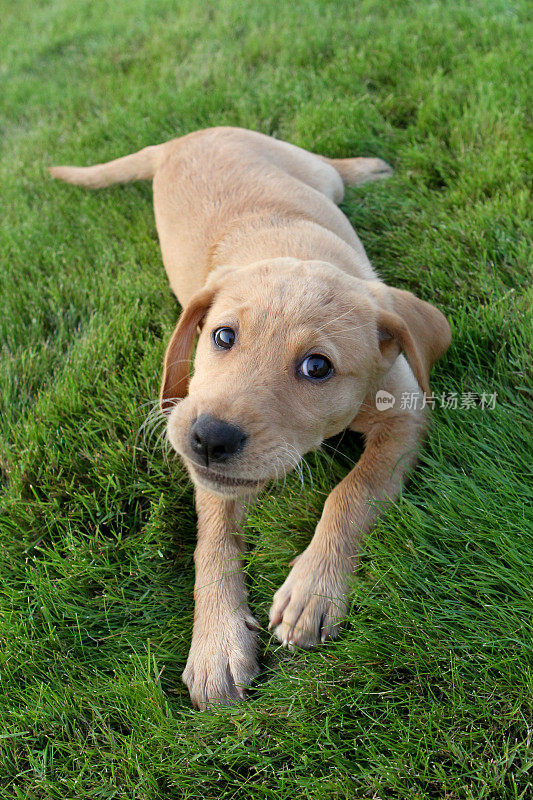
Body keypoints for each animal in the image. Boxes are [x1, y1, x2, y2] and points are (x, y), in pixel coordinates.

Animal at [50, 128, 450, 708]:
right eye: (221, 336)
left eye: (317, 367)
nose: (208, 439)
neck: (288, 248)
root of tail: (183, 136)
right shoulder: (210, 469)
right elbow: (213, 543)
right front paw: (216, 641)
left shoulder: (405, 414)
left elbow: (352, 491)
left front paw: (313, 590)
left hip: (308, 170)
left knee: (330, 168)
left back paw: (367, 169)